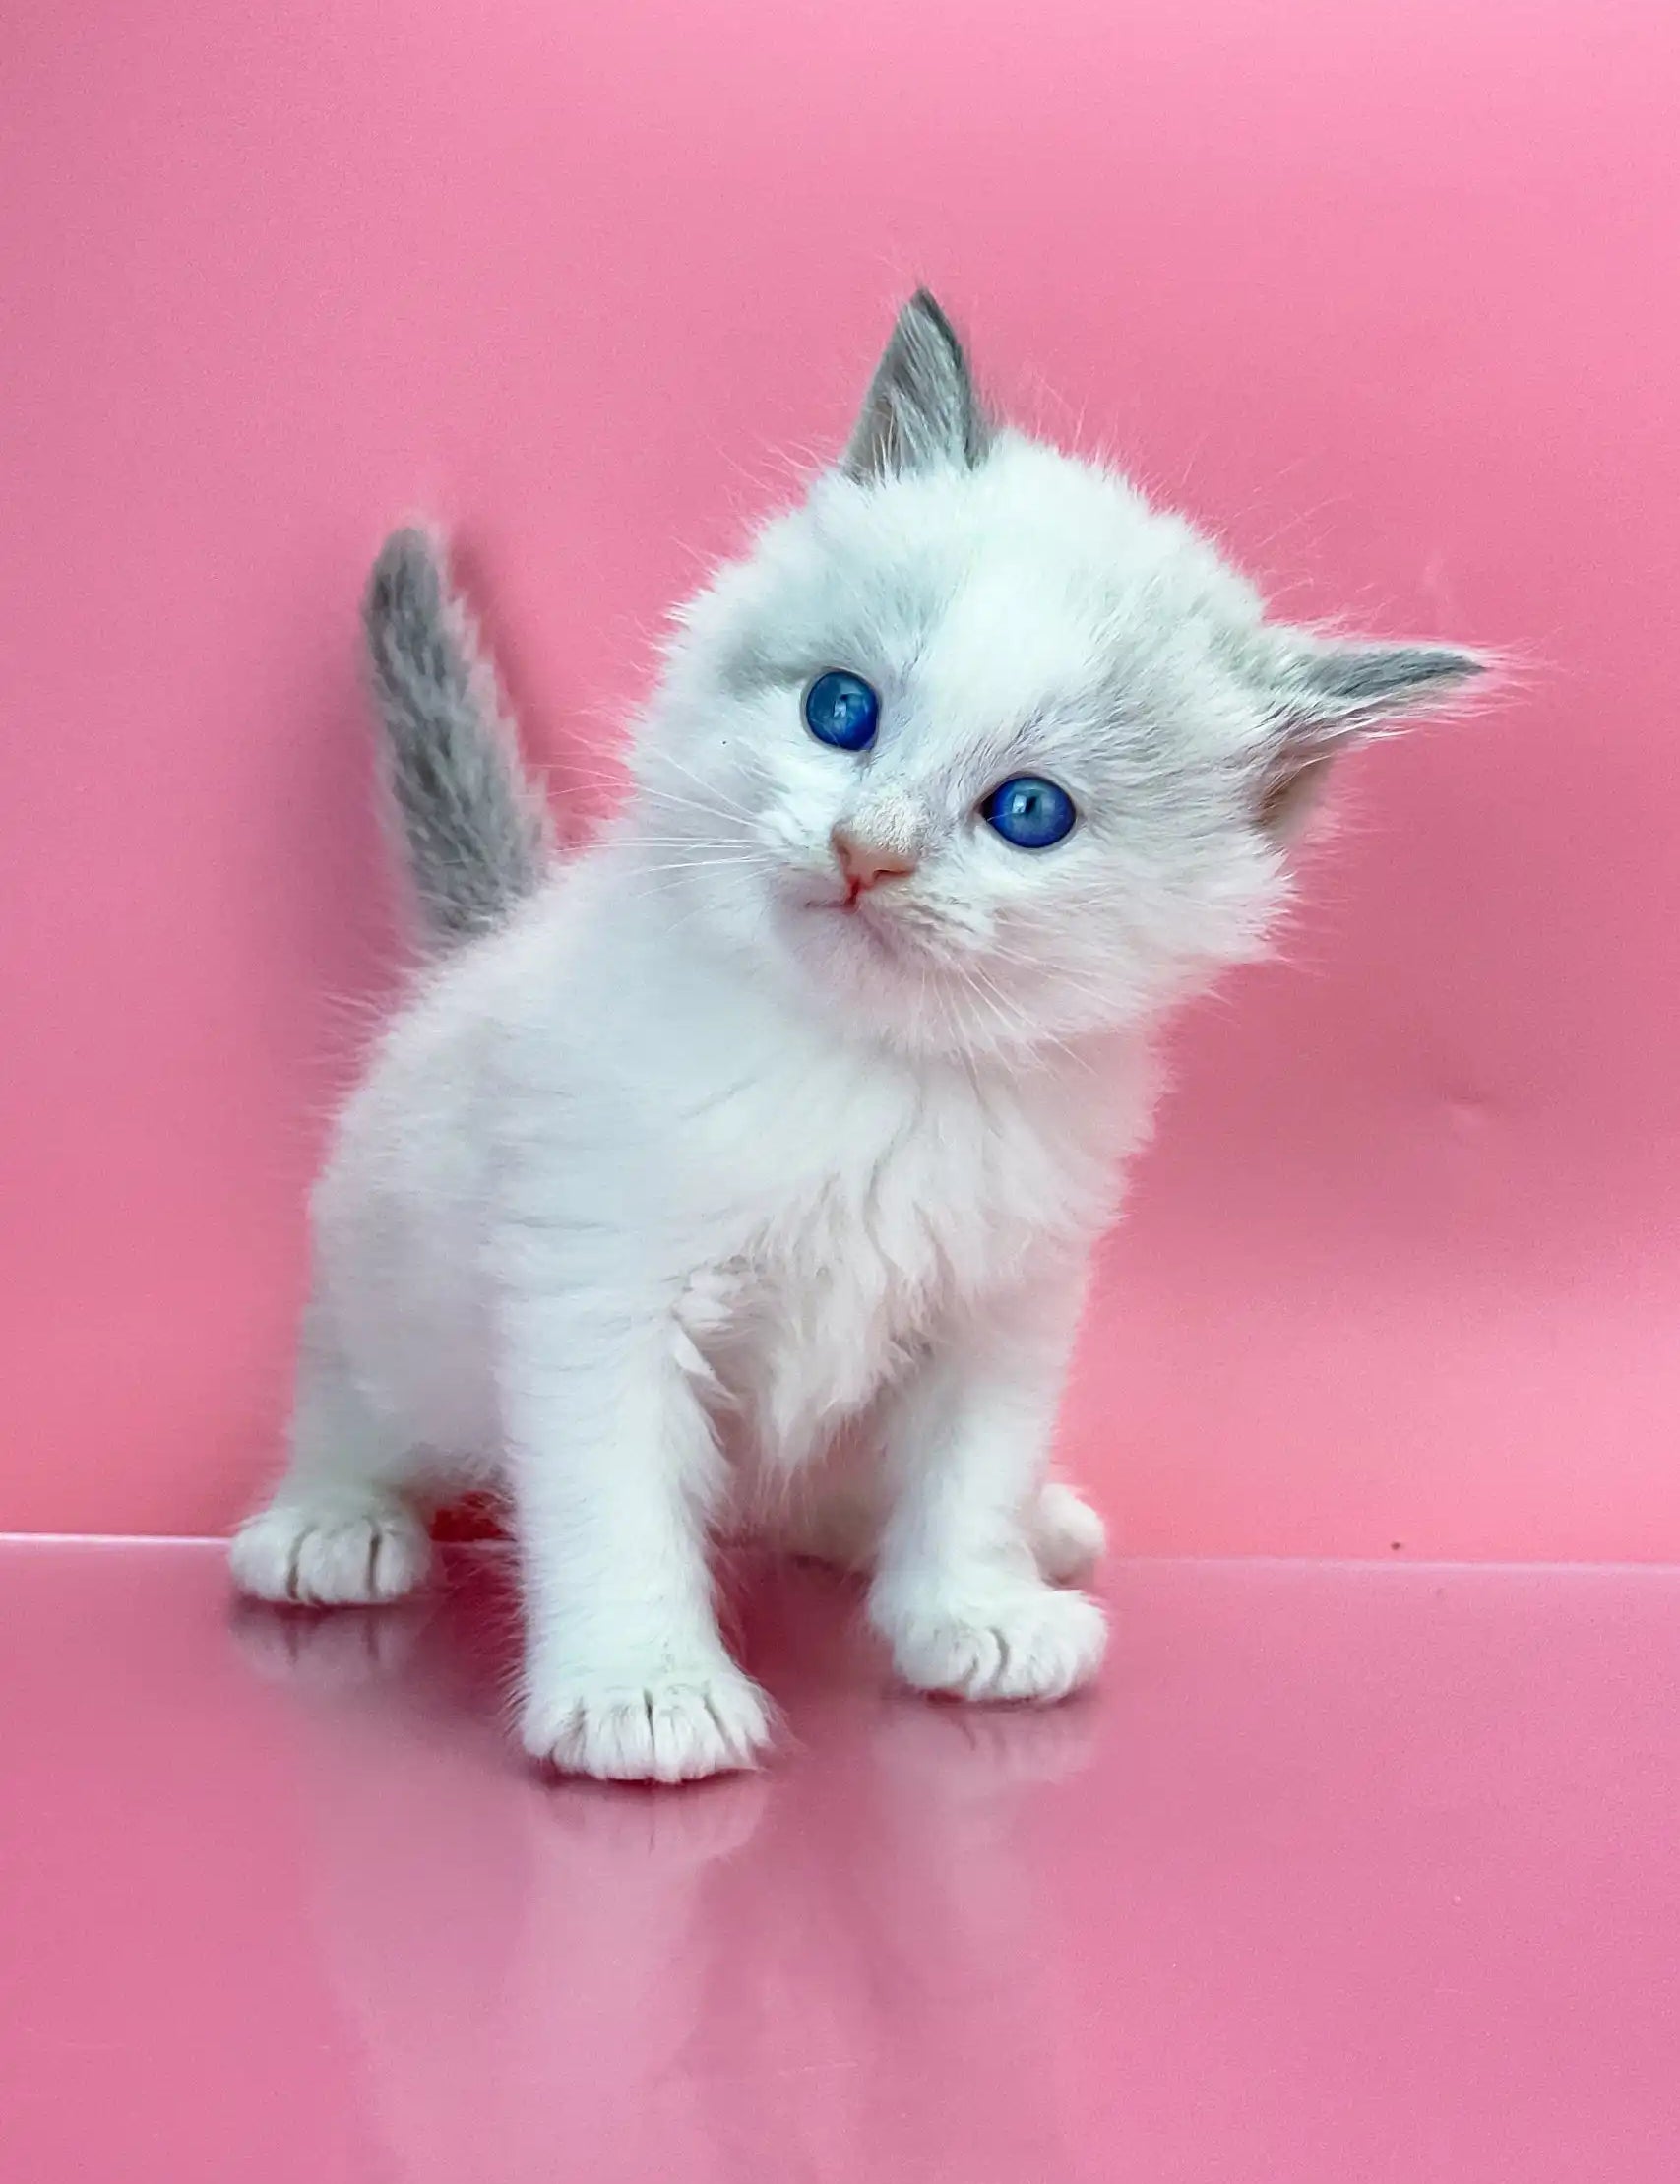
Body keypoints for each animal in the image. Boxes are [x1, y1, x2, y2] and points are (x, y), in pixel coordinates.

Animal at [229, 294, 1476, 1790]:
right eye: (841, 711)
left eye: (1029, 812)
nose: (865, 850)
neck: (870, 1077)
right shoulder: (595, 1282)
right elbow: (613, 1498)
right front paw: (641, 1688)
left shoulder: (1008, 1301)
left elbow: (971, 1470)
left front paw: (974, 1609)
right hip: (385, 1271)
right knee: (347, 1386)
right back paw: (329, 1521)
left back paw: (1007, 1526)